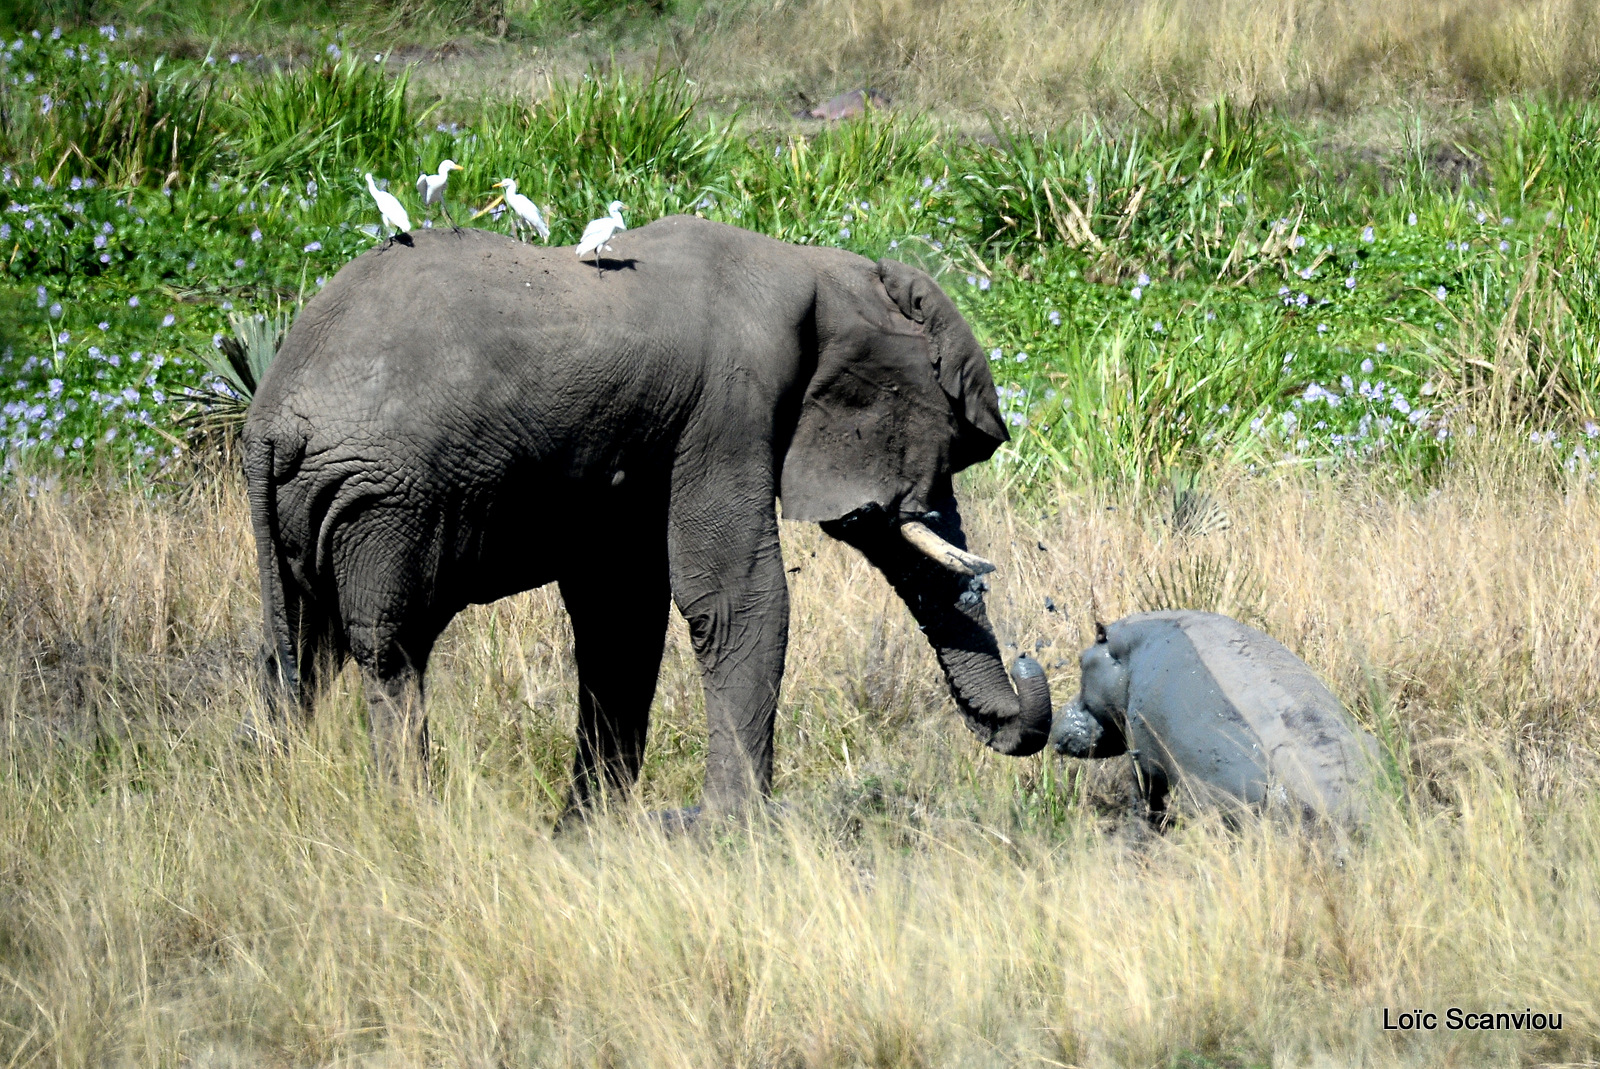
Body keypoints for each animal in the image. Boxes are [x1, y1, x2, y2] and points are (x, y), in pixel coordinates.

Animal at [243, 217, 1049, 819]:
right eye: (952, 448)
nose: (1034, 662)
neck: (825, 268)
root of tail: (272, 416)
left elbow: (621, 614)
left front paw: (587, 834)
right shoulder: (728, 405)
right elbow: (735, 598)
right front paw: (735, 833)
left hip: (309, 505)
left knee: (303, 648)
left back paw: (286, 792)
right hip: (387, 497)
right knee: (389, 650)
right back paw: (413, 814)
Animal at [1049, 608, 1388, 825]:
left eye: (1081, 660)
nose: (1056, 719)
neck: (1131, 647)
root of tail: (1343, 807)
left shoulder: (1144, 756)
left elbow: (1144, 802)